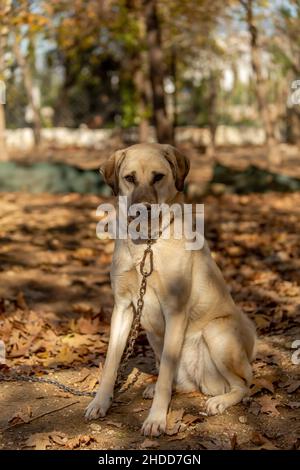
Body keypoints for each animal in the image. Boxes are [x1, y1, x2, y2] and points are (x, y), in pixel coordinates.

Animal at [85, 142, 256, 436]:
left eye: (158, 177)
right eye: (129, 178)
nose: (142, 208)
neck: (146, 244)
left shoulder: (174, 310)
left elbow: (165, 373)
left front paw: (156, 419)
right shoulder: (123, 307)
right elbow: (111, 363)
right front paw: (100, 402)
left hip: (217, 332)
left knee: (243, 384)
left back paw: (220, 401)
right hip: (155, 335)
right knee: (181, 380)